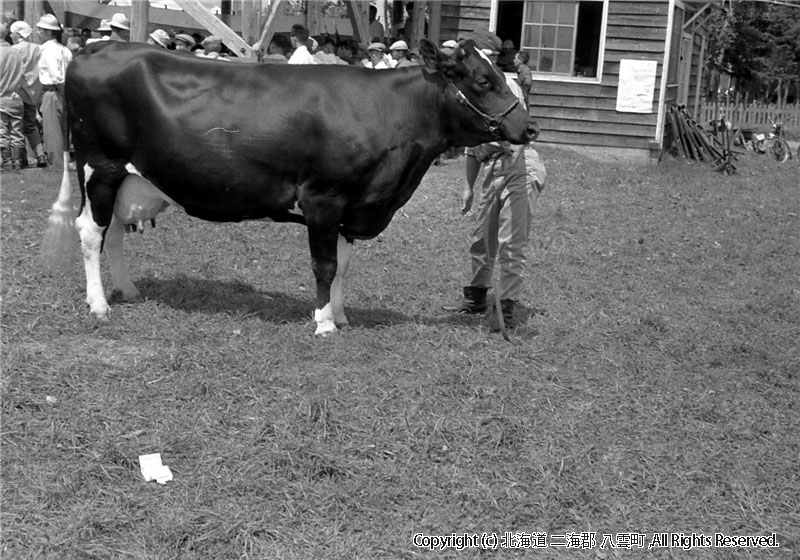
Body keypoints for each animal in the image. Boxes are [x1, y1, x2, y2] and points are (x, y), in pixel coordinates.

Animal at [42, 40, 532, 336]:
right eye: (483, 80)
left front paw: (341, 315)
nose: (529, 128)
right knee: (91, 231)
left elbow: (343, 265)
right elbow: (325, 266)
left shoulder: (352, 205)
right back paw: (99, 305)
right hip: (100, 165)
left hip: (126, 177)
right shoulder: (324, 198)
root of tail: (96, 47)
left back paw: (126, 290)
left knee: (113, 232)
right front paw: (324, 323)